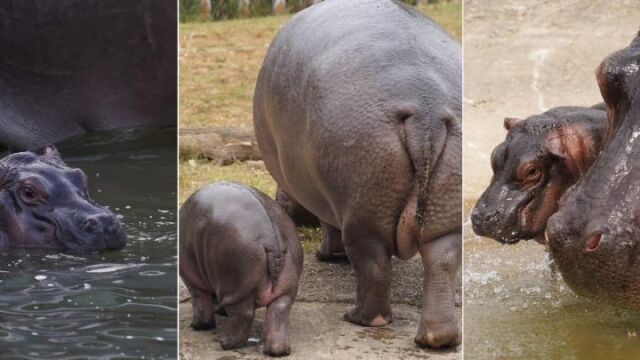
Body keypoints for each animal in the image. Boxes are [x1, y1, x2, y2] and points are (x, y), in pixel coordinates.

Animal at [178, 181, 302, 356]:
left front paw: (198, 326)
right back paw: (277, 351)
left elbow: (200, 302)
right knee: (279, 311)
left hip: (235, 287)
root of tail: (271, 240)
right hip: (286, 287)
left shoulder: (192, 279)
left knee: (245, 314)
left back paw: (226, 343)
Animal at [252, 0, 462, 348]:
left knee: (373, 267)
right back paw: (435, 339)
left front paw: (326, 255)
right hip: (443, 215)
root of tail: (426, 110)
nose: (281, 205)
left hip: (364, 213)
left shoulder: (320, 195)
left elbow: (328, 225)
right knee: (443, 262)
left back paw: (357, 317)